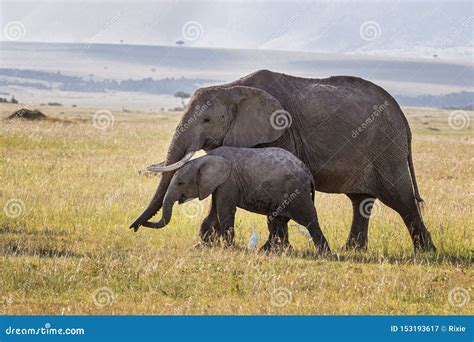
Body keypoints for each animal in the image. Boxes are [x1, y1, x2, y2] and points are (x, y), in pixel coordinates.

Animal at [143, 147, 332, 254]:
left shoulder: (229, 182)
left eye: (180, 183)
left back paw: (324, 254)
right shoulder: (219, 185)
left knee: (309, 221)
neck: (205, 159)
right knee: (277, 221)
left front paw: (229, 249)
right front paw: (201, 246)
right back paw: (269, 251)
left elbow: (225, 211)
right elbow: (214, 212)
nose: (140, 225)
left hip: (297, 193)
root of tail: (308, 174)